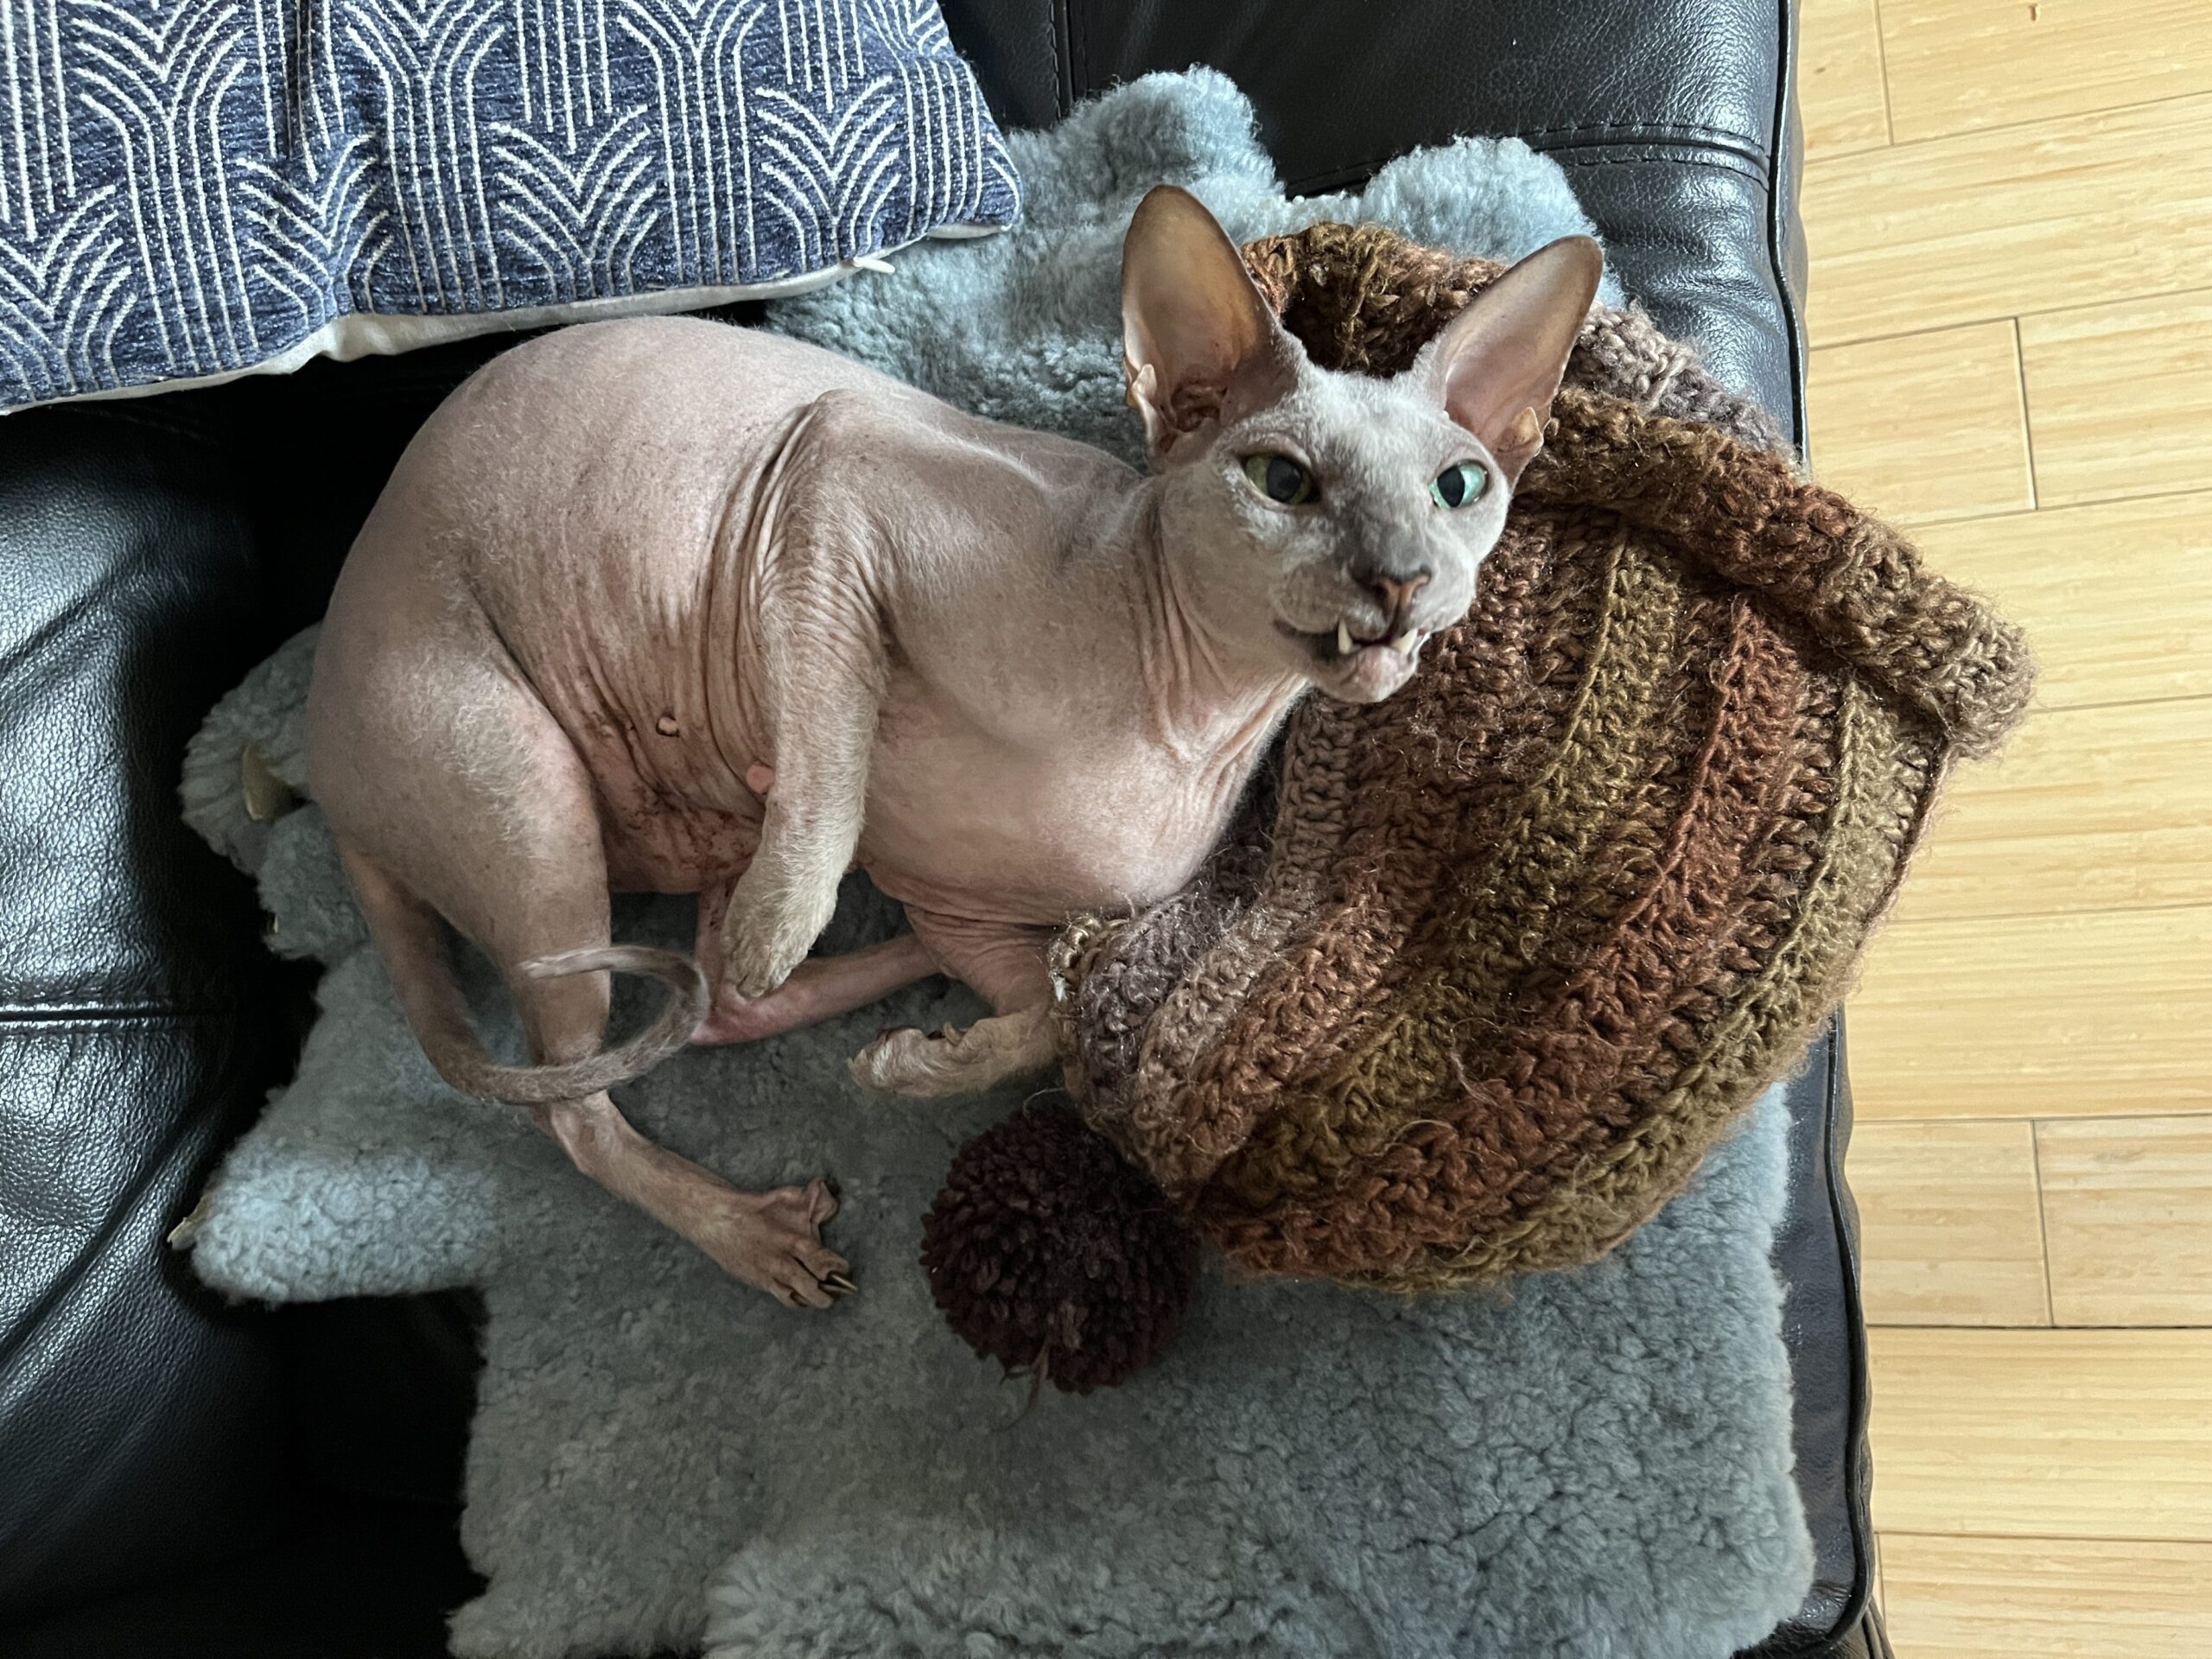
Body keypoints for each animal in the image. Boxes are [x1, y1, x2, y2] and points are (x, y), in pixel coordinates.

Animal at [307, 188, 1592, 1309]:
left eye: (1459, 487)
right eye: (1283, 481)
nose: (1402, 578)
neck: (1189, 711)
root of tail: (323, 761)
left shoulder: (967, 907)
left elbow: (1048, 1033)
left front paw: (931, 1063)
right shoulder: (833, 471)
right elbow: (833, 743)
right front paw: (794, 910)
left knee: (717, 1006)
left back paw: (851, 989)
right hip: (523, 790)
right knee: (573, 1103)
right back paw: (751, 1205)